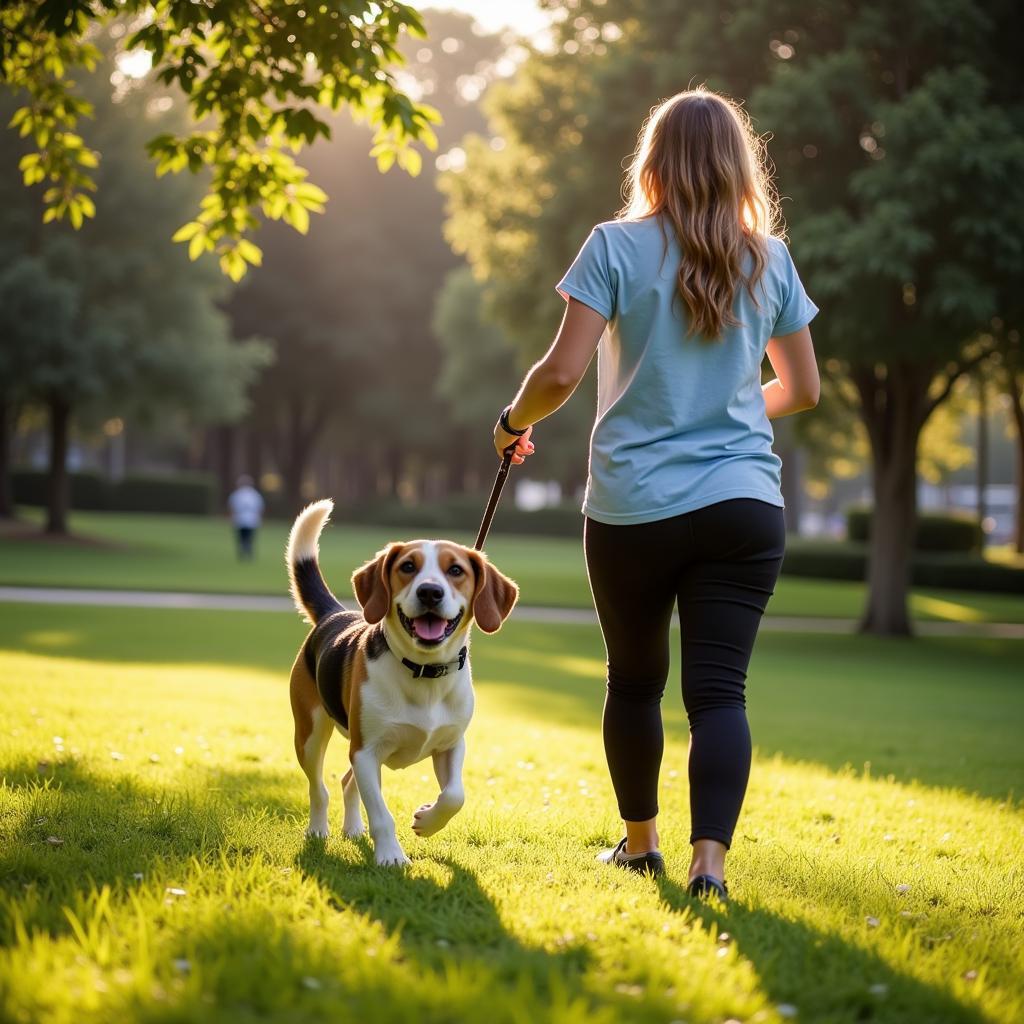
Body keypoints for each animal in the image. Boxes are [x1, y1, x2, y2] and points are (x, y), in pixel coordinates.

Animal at [284, 499, 516, 868]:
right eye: (408, 566)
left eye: (456, 571)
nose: (430, 592)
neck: (424, 673)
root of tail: (335, 613)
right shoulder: (366, 752)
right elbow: (381, 813)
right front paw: (391, 856)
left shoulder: (451, 744)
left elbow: (455, 796)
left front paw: (427, 819)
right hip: (309, 735)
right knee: (319, 788)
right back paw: (318, 829)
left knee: (347, 782)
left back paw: (353, 828)